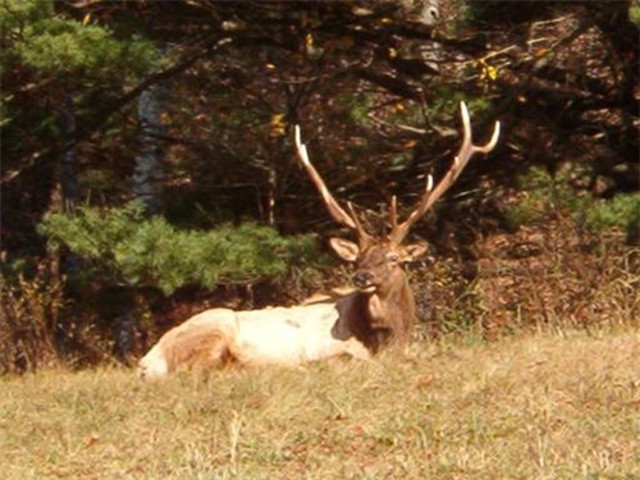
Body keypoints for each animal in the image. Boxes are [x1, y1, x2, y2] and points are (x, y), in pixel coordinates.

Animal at [137, 102, 500, 378]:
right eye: (357, 258)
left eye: (394, 258)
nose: (361, 277)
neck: (387, 338)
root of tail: (147, 362)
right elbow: (345, 358)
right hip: (216, 325)